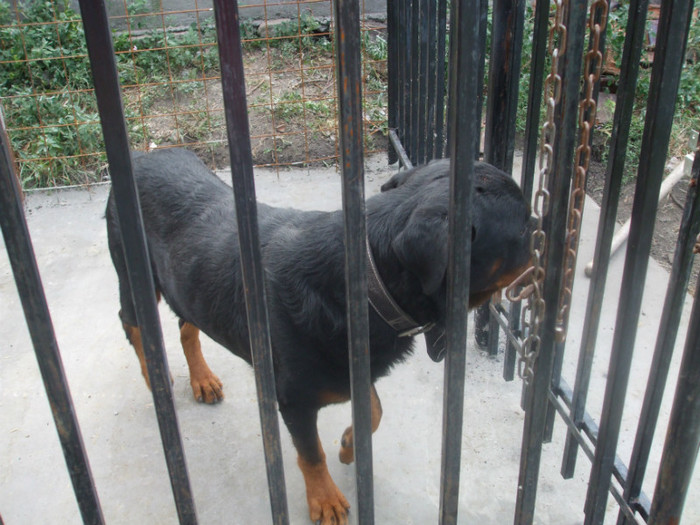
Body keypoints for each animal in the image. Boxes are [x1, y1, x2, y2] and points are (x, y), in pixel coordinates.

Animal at [105, 146, 532, 524]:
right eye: (525, 227)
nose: (543, 247)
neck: (366, 280)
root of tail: (140, 157)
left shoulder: (351, 363)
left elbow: (374, 408)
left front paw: (349, 443)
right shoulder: (293, 398)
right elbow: (311, 453)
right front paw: (325, 498)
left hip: (186, 283)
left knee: (185, 324)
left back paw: (202, 378)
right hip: (134, 275)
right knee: (132, 323)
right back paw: (155, 375)